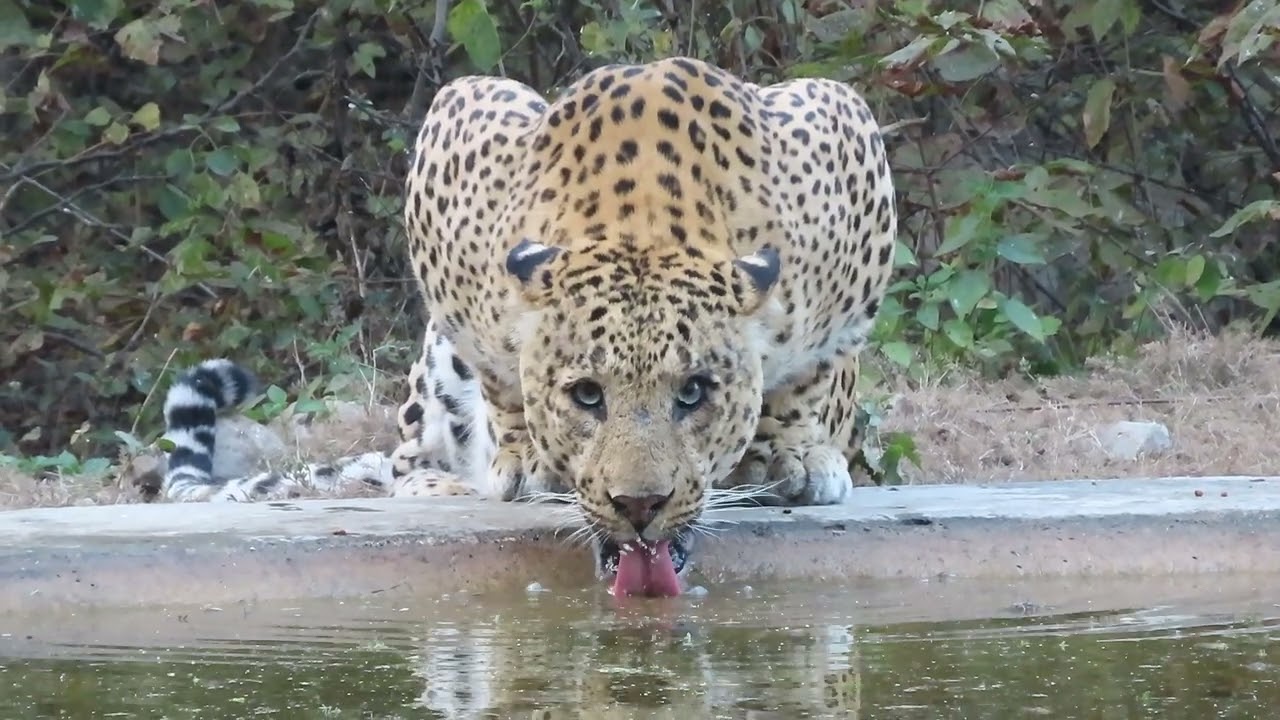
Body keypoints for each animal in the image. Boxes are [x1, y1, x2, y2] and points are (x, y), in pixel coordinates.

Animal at [153, 56, 897, 598]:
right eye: (587, 396)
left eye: (694, 393)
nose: (639, 506)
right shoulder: (459, 137)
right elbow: (501, 377)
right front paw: (523, 459)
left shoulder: (843, 132)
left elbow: (819, 370)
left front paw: (798, 455)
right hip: (429, 378)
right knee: (405, 460)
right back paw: (453, 481)